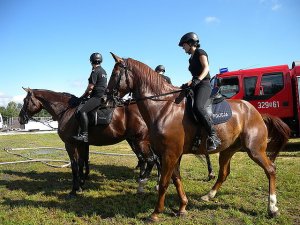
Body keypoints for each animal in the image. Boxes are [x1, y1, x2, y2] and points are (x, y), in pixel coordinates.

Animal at [18, 87, 159, 195]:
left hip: (140, 142)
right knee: (152, 160)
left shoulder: (70, 145)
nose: (20, 118)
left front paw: (75, 189)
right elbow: (82, 162)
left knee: (151, 160)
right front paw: (81, 183)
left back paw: (142, 184)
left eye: (25, 100)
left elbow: (75, 165)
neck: (66, 110)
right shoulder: (82, 144)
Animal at [106, 53, 290, 221]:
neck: (163, 108)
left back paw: (272, 208)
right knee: (224, 173)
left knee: (271, 170)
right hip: (227, 150)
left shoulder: (170, 154)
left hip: (255, 150)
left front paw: (156, 213)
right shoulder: (172, 154)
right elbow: (177, 180)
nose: (105, 99)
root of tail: (256, 112)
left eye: (115, 74)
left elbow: (165, 183)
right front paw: (182, 207)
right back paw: (209, 196)